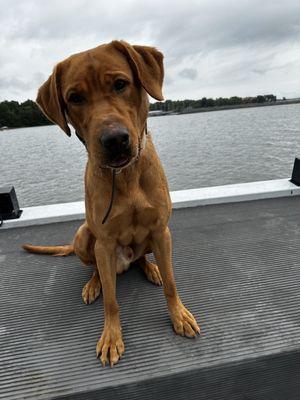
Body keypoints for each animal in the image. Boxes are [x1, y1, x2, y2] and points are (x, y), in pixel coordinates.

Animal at [22, 40, 199, 366]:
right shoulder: (103, 243)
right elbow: (111, 300)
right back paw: (94, 284)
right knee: (97, 272)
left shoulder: (161, 230)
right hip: (84, 237)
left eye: (120, 84)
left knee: (143, 258)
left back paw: (151, 267)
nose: (115, 139)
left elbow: (171, 284)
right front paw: (111, 337)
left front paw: (178, 315)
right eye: (74, 98)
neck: (124, 175)